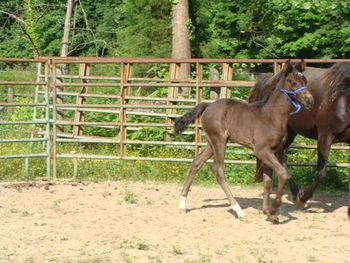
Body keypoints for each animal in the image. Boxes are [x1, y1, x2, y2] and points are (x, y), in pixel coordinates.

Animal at [174, 60, 314, 225]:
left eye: (305, 81)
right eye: (293, 82)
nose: (310, 100)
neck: (271, 117)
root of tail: (208, 106)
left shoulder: (274, 151)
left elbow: (268, 181)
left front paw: (268, 213)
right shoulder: (262, 151)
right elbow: (283, 174)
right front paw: (274, 209)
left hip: (211, 143)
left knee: (196, 162)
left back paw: (182, 204)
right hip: (219, 140)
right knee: (218, 171)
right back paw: (239, 211)